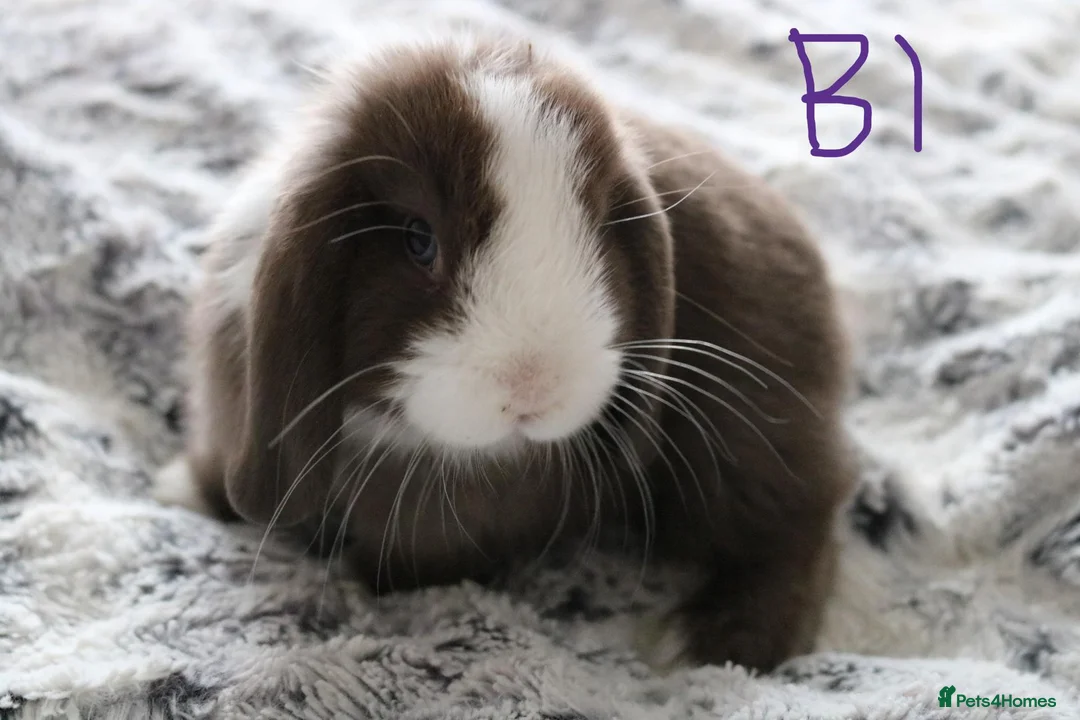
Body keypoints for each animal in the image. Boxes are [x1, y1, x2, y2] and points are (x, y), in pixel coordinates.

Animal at [153, 25, 856, 673]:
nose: (534, 389)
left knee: (800, 527)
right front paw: (179, 492)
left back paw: (702, 644)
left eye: (600, 230)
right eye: (418, 239)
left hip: (747, 448)